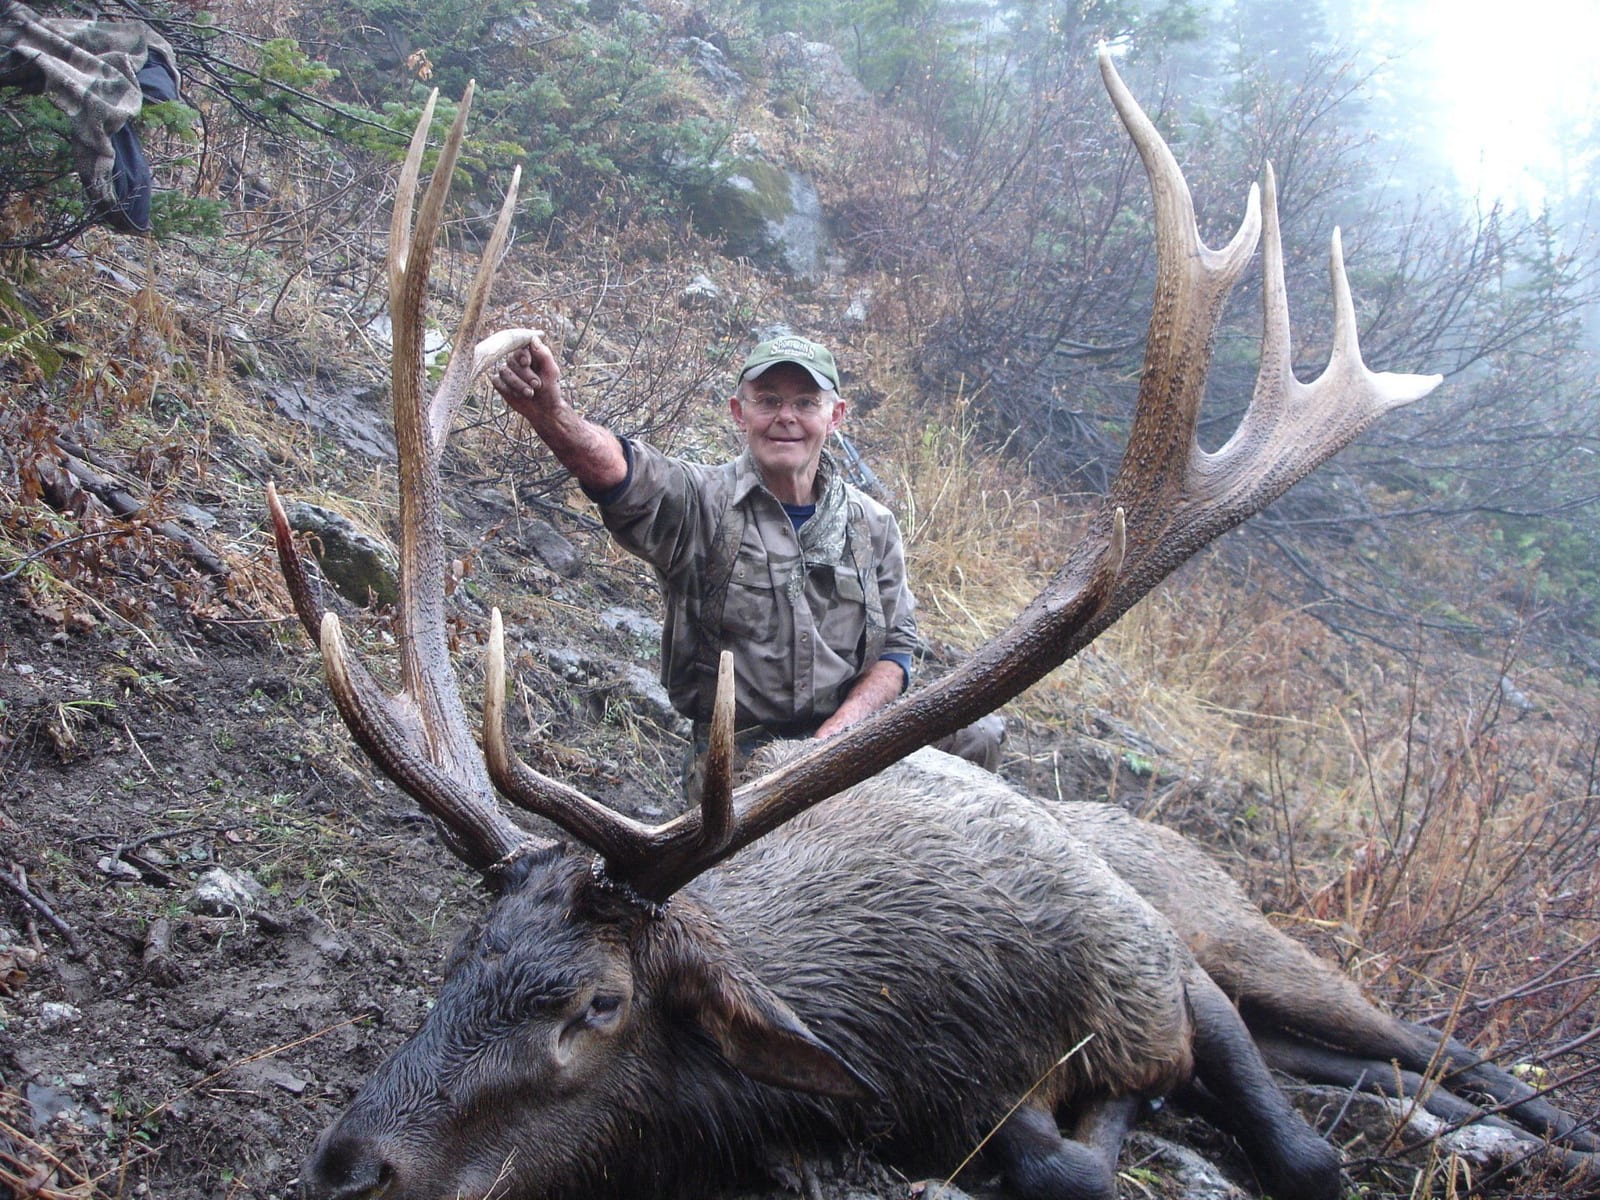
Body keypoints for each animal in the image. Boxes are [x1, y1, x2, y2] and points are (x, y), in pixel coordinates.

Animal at [268, 50, 1597, 1200]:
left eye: (596, 1005)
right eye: (461, 957)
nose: (349, 1166)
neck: (926, 1020)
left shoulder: (1162, 971)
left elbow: (1291, 1153)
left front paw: (1138, 1112)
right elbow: (1059, 1158)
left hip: (1247, 930)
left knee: (1439, 1046)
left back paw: (1539, 1125)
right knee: (1370, 1068)